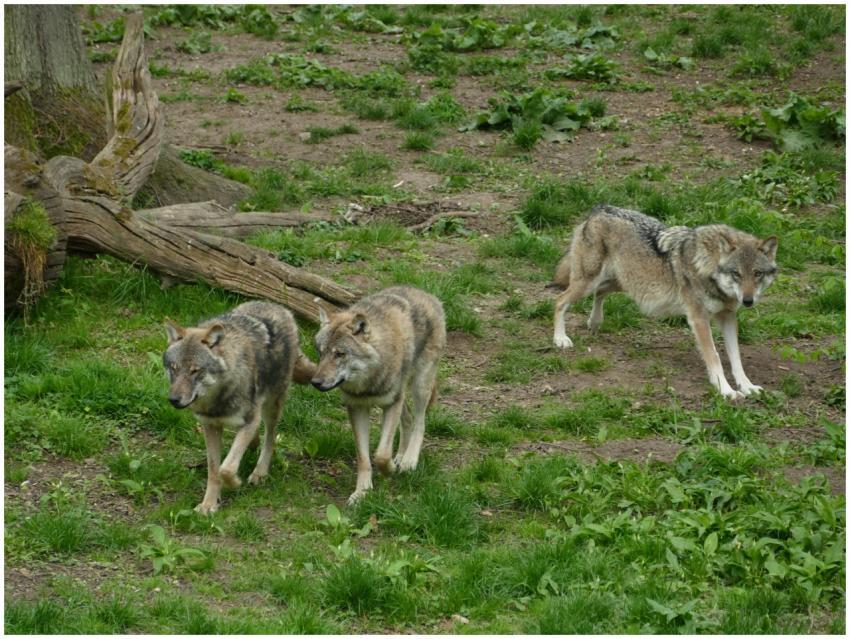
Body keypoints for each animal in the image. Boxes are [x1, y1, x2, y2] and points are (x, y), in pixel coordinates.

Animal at [163, 301, 316, 514]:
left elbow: (226, 468)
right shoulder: (210, 426)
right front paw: (209, 504)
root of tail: (281, 308)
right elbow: (214, 469)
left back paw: (260, 472)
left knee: (270, 438)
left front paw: (235, 483)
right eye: (174, 368)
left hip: (271, 407)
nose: (173, 399)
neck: (218, 399)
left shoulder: (250, 419)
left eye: (195, 371)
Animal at [310, 286, 446, 504]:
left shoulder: (391, 404)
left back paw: (408, 460)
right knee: (408, 420)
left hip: (419, 386)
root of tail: (426, 293)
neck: (368, 384)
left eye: (340, 354)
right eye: (320, 353)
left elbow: (381, 454)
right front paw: (362, 492)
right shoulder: (357, 408)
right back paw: (400, 456)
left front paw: (389, 469)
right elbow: (364, 458)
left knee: (420, 422)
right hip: (402, 395)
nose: (315, 382)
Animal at [551, 205, 778, 400]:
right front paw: (726, 390)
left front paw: (747, 386)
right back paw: (560, 339)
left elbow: (736, 358)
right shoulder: (698, 318)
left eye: (757, 274)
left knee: (600, 292)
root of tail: (598, 210)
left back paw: (595, 322)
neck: (707, 266)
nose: (747, 300)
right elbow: (714, 356)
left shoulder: (728, 316)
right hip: (589, 283)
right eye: (736, 274)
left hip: (623, 283)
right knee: (559, 300)